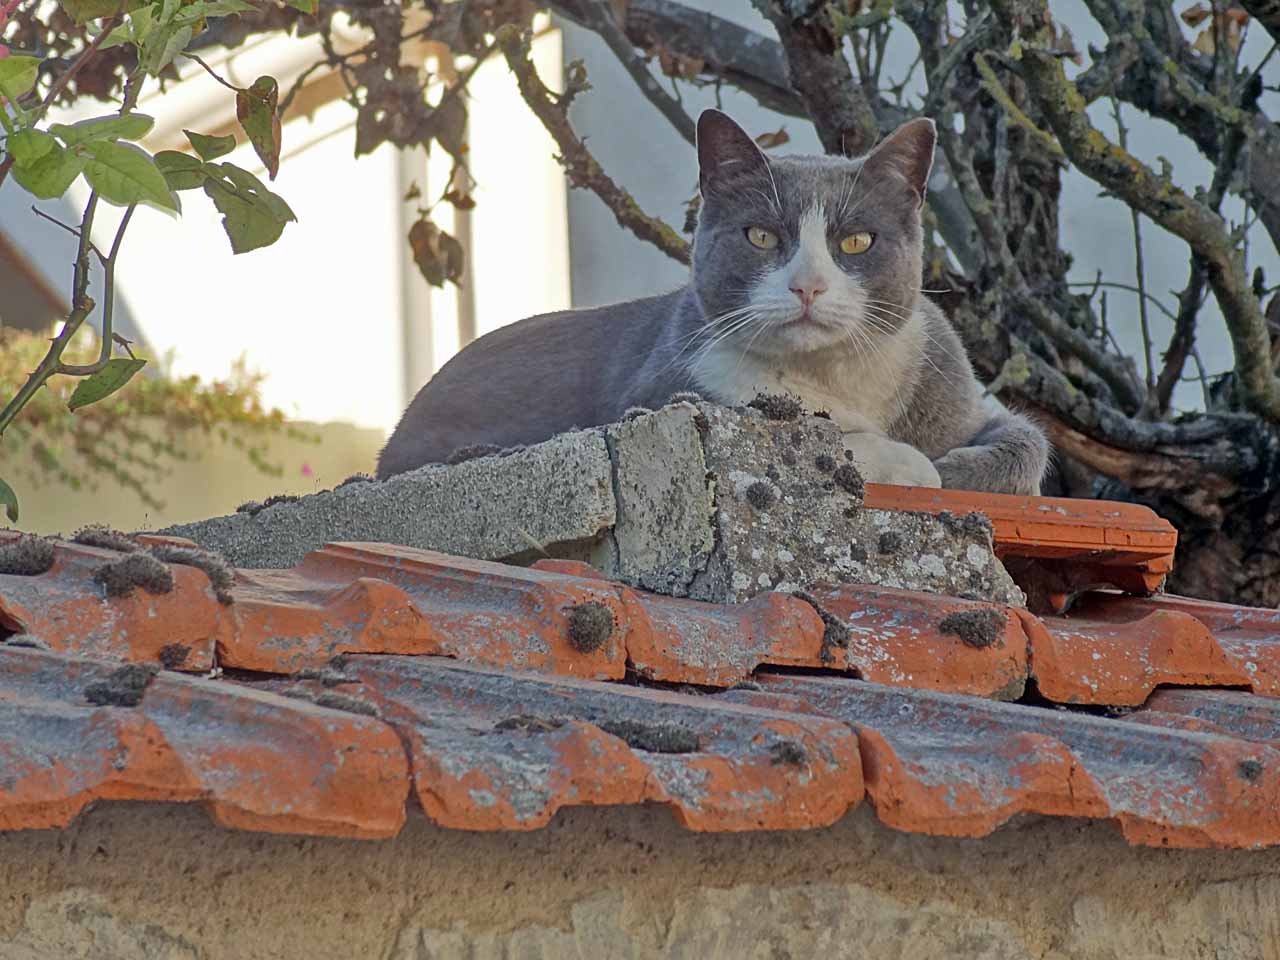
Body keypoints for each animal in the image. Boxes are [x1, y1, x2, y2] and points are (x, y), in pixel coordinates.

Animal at [376, 110, 1049, 499]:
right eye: (762, 237)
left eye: (857, 241)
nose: (808, 285)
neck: (834, 376)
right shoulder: (667, 393)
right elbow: (816, 436)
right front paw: (914, 464)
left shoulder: (954, 393)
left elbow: (1027, 443)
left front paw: (953, 465)